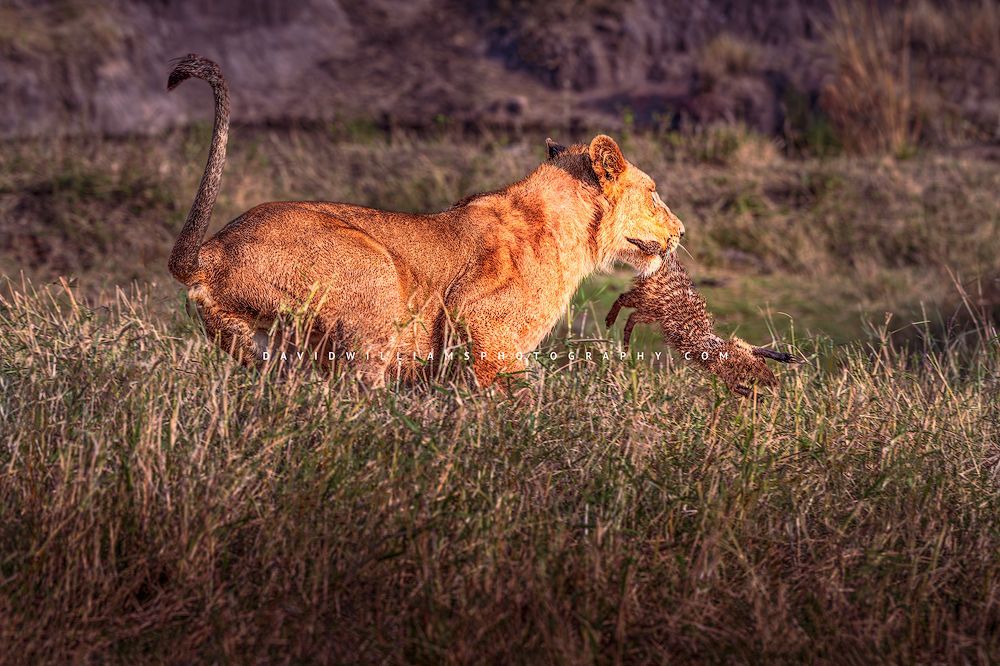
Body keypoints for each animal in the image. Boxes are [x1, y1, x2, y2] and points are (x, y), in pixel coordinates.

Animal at [166, 54, 685, 389]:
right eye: (654, 192)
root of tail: (210, 254)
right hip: (374, 283)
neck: (574, 234)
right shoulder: (479, 321)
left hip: (264, 351)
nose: (680, 231)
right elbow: (513, 397)